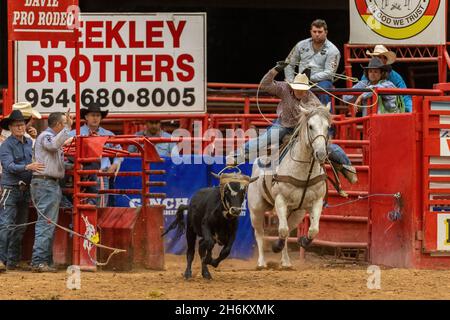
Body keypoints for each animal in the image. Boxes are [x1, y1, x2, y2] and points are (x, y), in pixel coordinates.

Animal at [246, 105, 330, 268]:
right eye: (310, 126)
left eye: (328, 127)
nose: (321, 153)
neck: (303, 171)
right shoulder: (280, 200)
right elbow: (283, 231)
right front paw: (275, 246)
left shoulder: (316, 201)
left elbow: (313, 229)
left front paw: (304, 240)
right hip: (256, 209)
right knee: (260, 233)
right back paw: (261, 262)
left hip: (296, 214)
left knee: (286, 229)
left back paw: (286, 262)